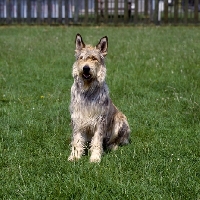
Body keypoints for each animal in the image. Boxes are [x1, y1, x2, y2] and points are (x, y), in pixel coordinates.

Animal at [67, 34, 130, 162]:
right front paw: (75, 156)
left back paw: (112, 147)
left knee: (117, 141)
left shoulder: (100, 120)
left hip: (120, 121)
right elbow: (77, 140)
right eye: (81, 58)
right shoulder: (77, 118)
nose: (86, 68)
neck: (87, 90)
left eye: (94, 58)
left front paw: (95, 158)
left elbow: (97, 141)